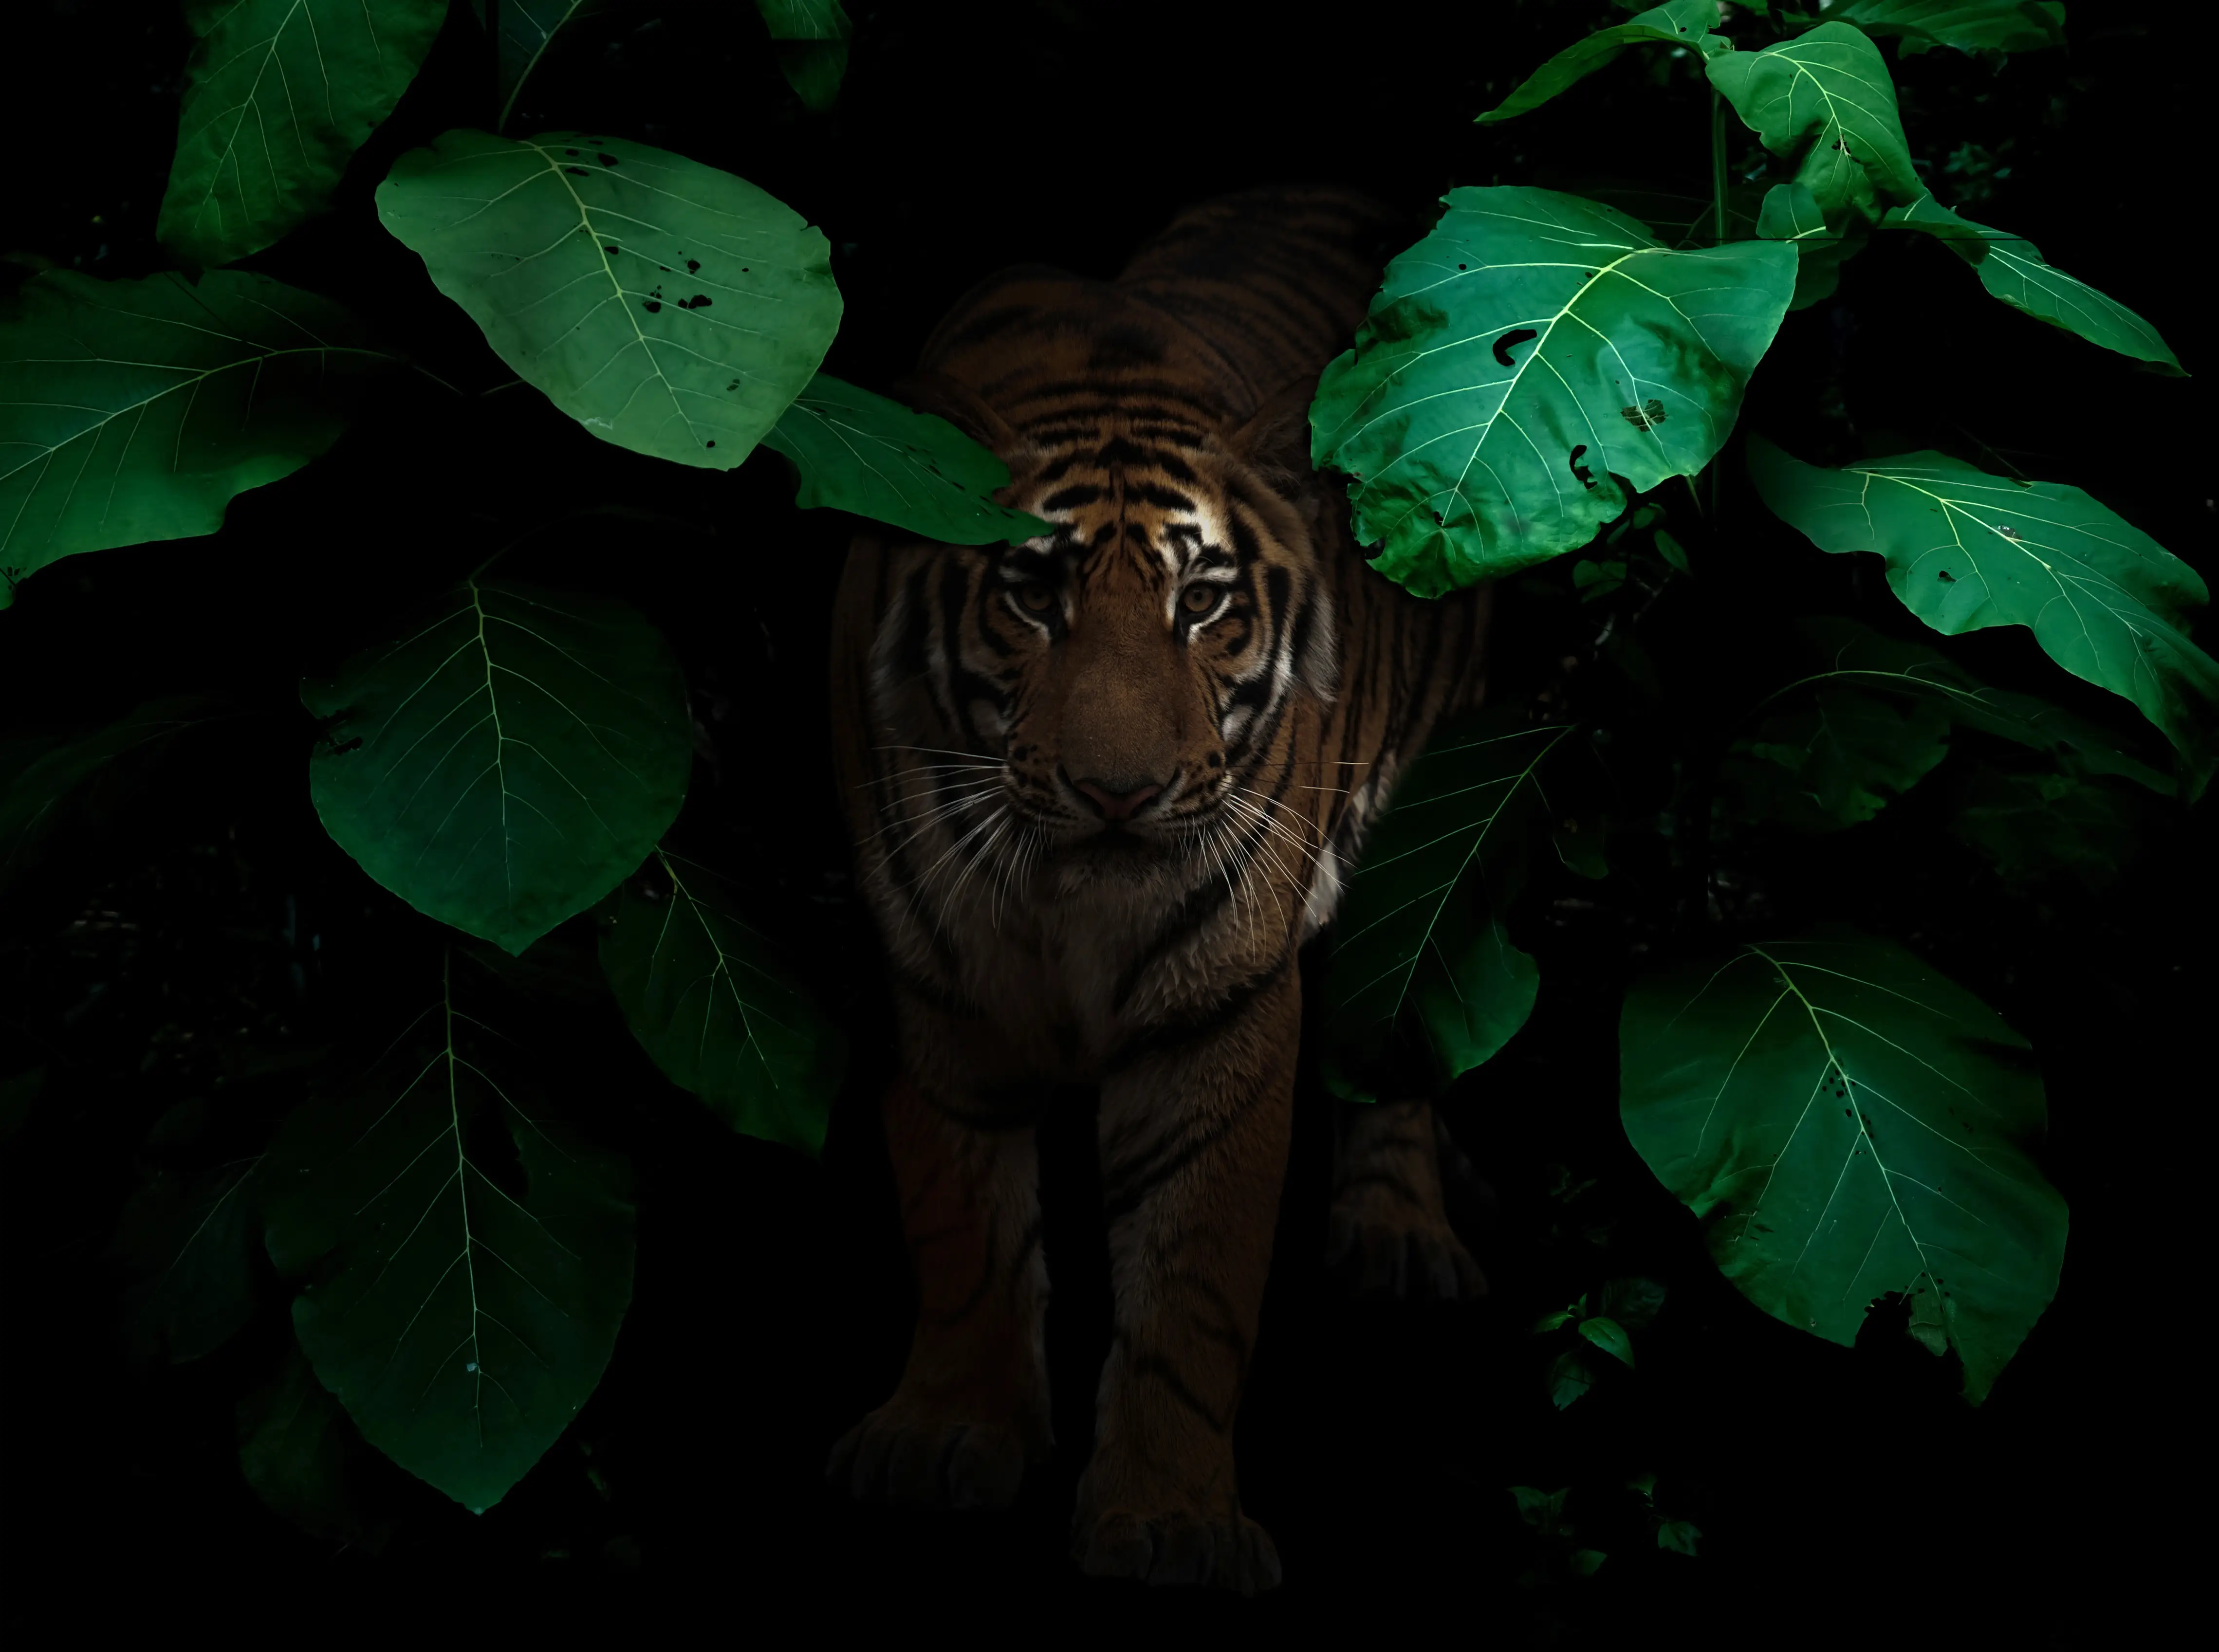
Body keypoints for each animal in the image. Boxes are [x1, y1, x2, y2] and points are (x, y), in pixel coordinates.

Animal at [825, 186, 1494, 1595]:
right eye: (1032, 594)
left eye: (1205, 601)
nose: (1119, 791)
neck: (1065, 903)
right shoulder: (936, 982)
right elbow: (958, 1228)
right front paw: (944, 1435)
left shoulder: (1219, 1008)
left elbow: (1194, 1285)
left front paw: (1168, 1521)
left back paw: (1399, 1236)